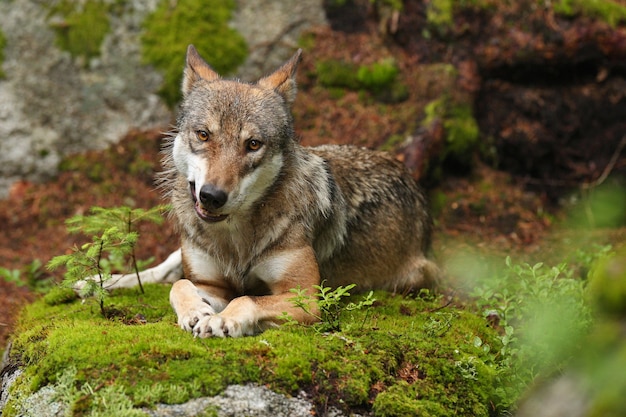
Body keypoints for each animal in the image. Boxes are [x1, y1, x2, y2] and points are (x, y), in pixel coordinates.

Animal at [85, 45, 438, 336]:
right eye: (203, 135)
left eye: (253, 144)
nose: (212, 196)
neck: (235, 239)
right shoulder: (210, 283)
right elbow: (181, 285)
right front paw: (196, 313)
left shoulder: (305, 297)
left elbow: (246, 300)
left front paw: (222, 320)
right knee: (162, 272)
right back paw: (92, 283)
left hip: (416, 276)